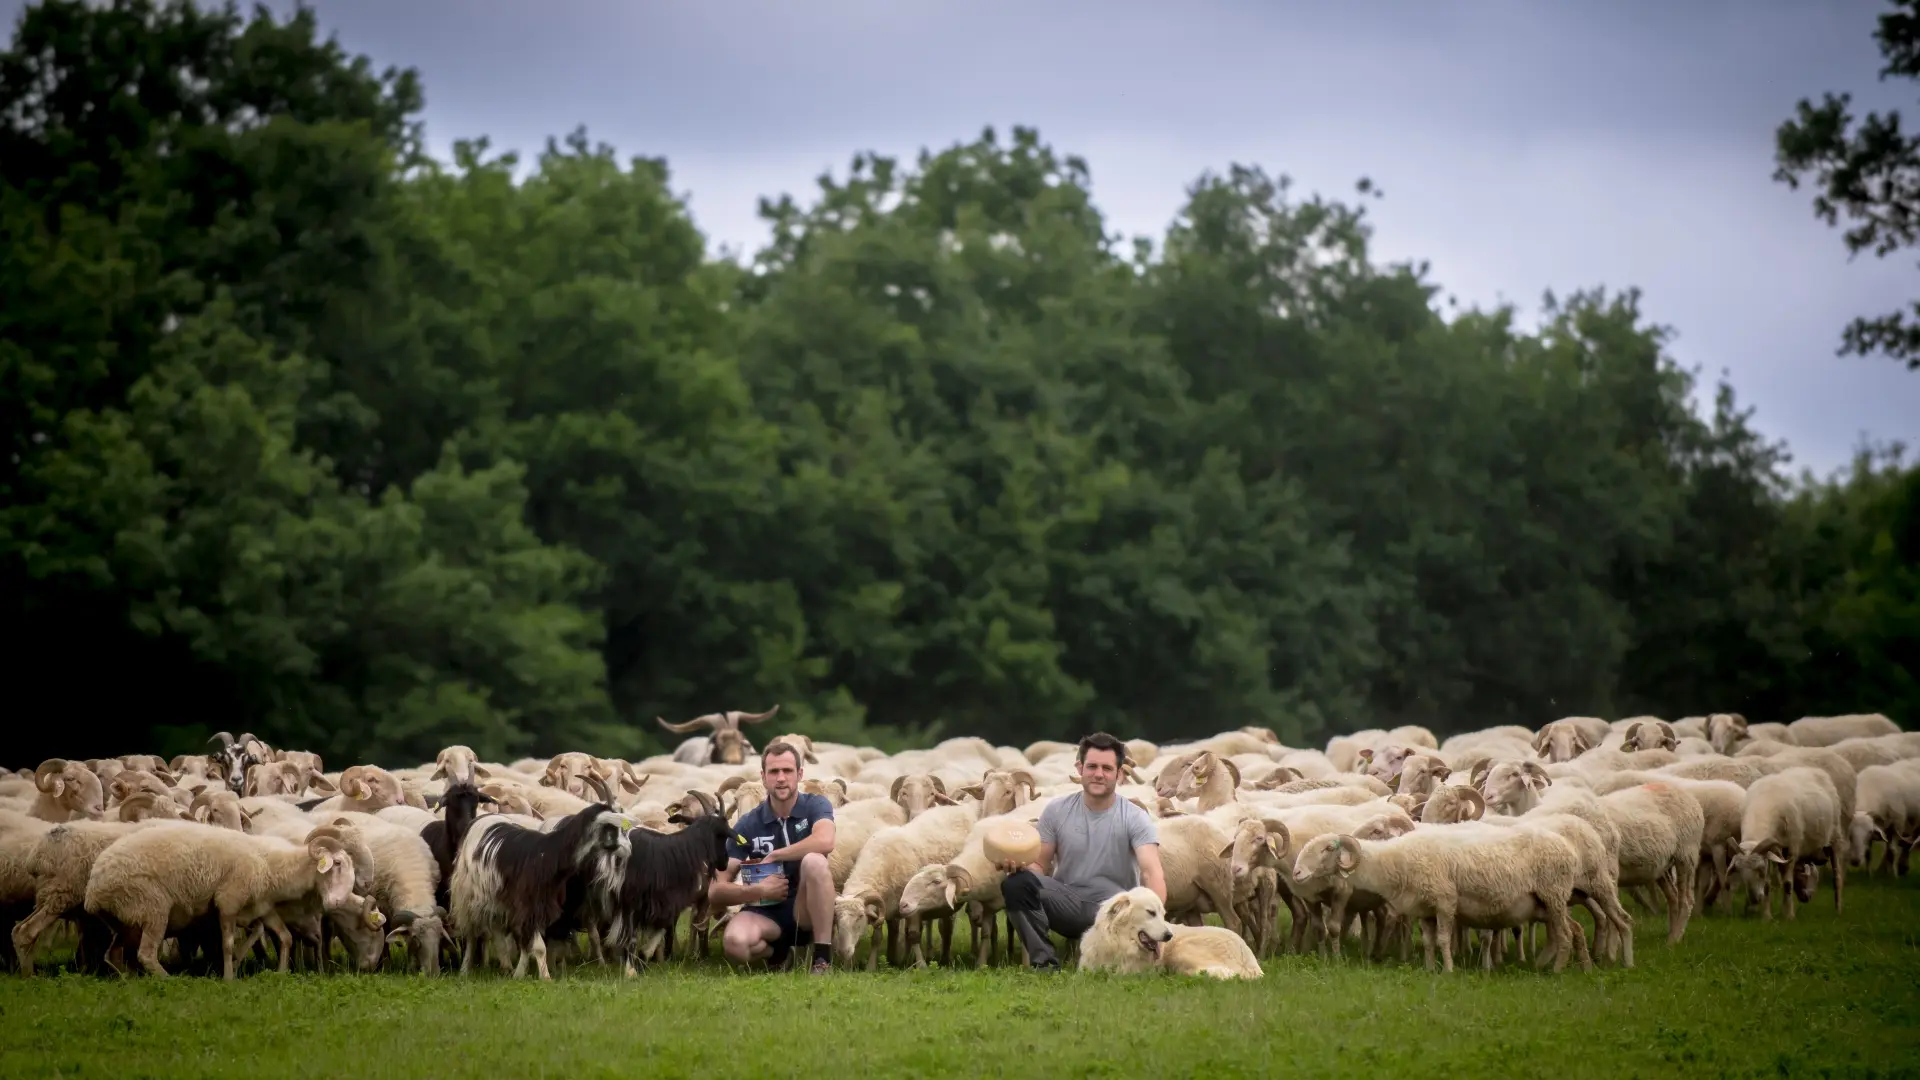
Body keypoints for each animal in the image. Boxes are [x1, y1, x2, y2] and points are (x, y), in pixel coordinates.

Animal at [447, 780, 629, 976]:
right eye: (611, 826)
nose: (628, 848)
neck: (547, 855)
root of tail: (480, 820)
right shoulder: (529, 906)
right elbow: (539, 946)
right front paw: (545, 976)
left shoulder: (538, 907)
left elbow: (528, 943)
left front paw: (519, 973)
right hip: (468, 895)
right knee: (471, 934)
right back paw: (465, 969)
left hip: (496, 898)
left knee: (496, 930)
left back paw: (506, 966)